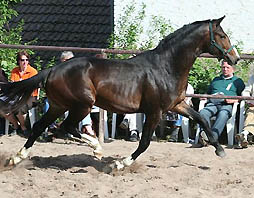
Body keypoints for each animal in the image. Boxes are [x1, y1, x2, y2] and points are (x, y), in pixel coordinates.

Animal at [0, 16, 239, 169]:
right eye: (221, 35)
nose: (234, 58)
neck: (167, 66)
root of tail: (53, 70)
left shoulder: (176, 105)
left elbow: (202, 119)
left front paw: (220, 149)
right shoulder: (155, 111)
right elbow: (144, 142)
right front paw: (120, 164)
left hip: (60, 105)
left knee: (40, 127)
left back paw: (16, 159)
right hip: (82, 104)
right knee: (67, 127)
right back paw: (97, 148)